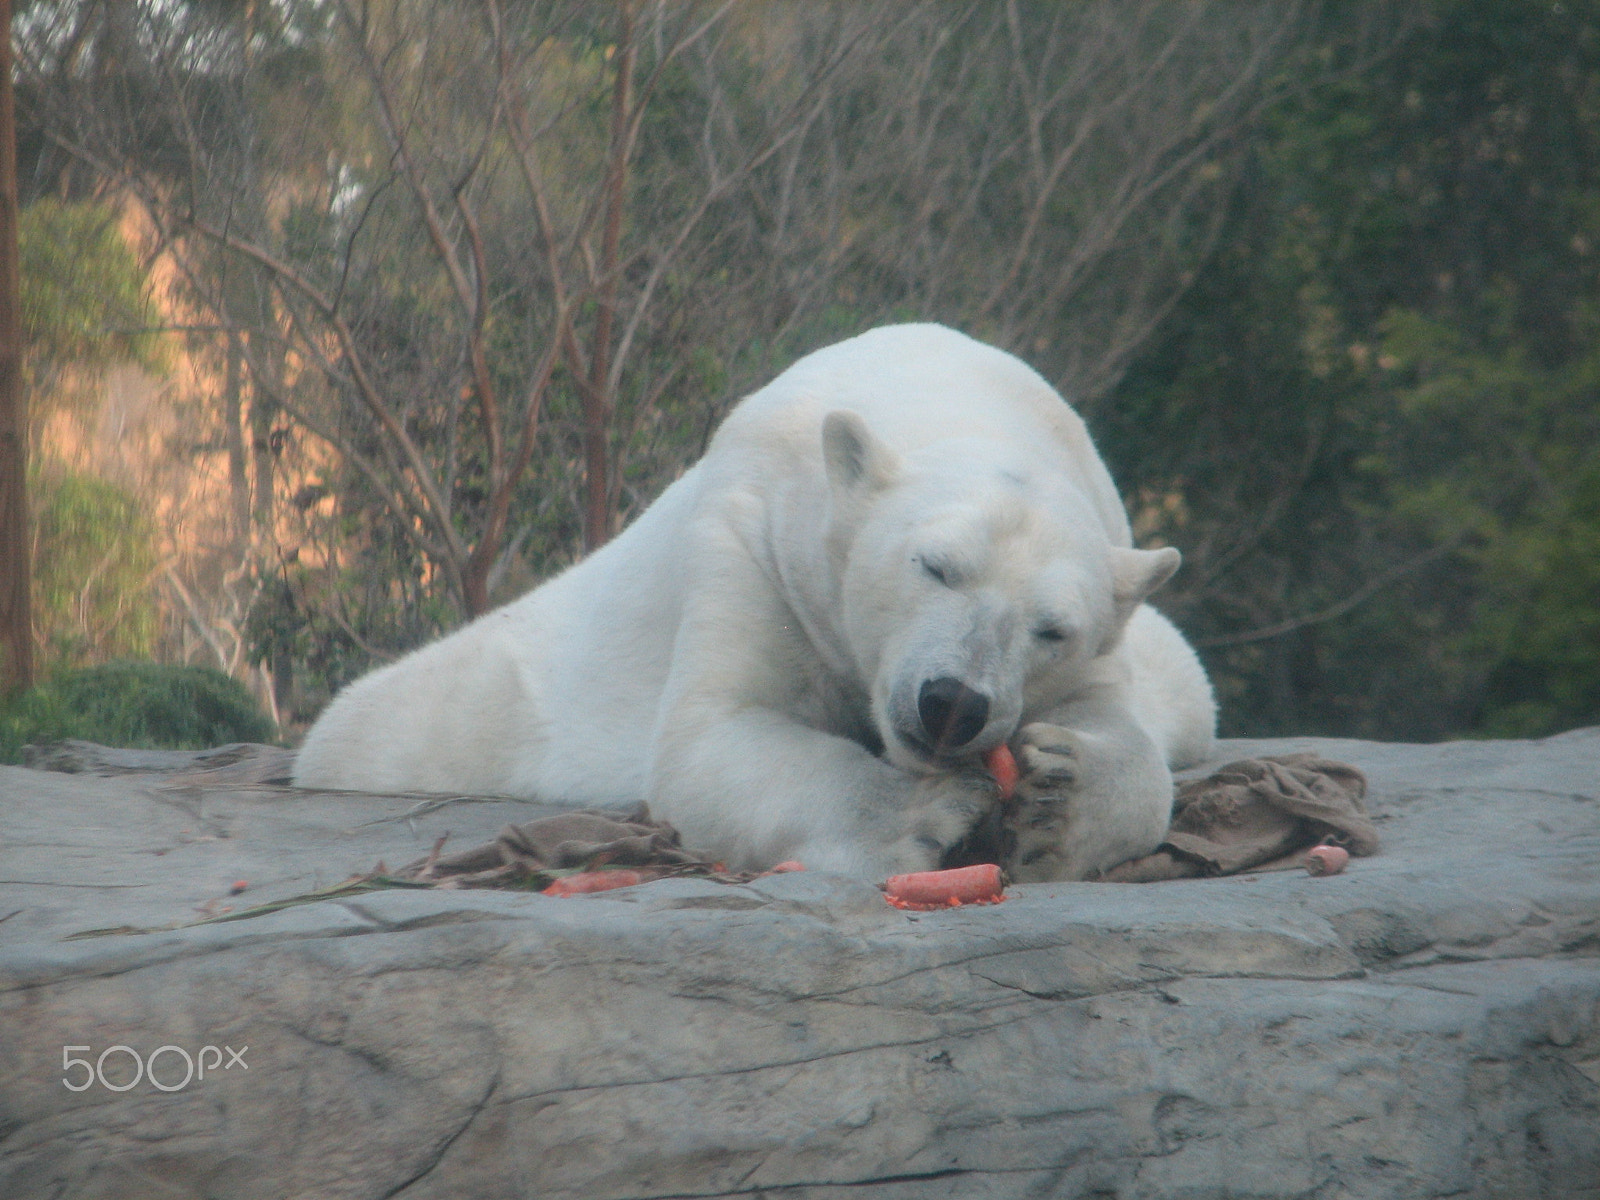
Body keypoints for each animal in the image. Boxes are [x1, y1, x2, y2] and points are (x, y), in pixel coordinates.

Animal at [294, 326, 1209, 883]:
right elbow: (715, 737)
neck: (949, 397)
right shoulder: (757, 541)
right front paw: (928, 812)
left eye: (1053, 629)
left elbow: (1120, 729)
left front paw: (1060, 797)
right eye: (934, 565)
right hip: (489, 692)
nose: (952, 703)